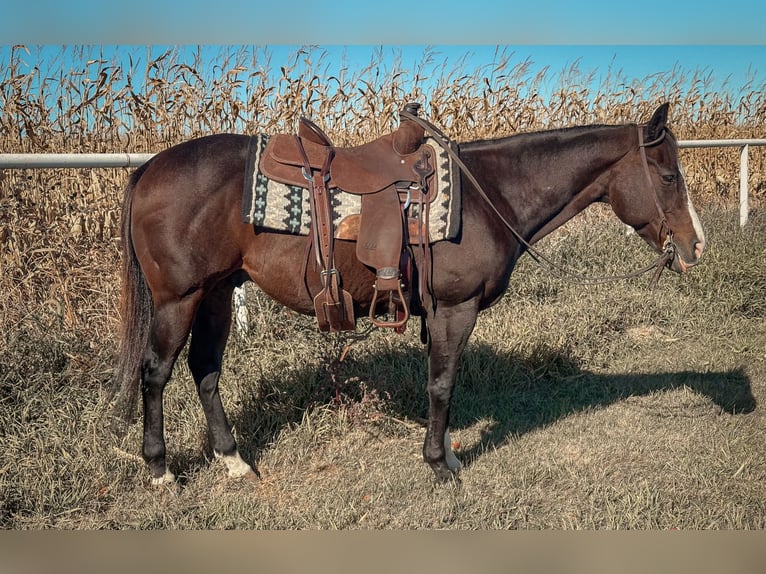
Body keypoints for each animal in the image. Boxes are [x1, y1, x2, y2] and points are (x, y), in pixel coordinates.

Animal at [109, 102, 708, 486]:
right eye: (668, 176)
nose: (695, 245)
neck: (492, 195)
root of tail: (149, 168)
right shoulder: (454, 310)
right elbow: (442, 384)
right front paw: (441, 464)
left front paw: (444, 457)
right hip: (179, 298)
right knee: (155, 373)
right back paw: (160, 470)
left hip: (215, 293)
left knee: (205, 371)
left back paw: (235, 461)